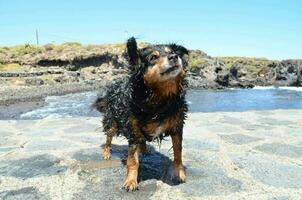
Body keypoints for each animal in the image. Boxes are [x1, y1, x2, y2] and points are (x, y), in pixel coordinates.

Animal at [94, 36, 189, 191]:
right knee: (108, 137)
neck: (159, 99)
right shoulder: (132, 129)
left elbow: (178, 153)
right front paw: (131, 181)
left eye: (173, 52)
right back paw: (107, 152)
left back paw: (144, 149)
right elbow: (132, 160)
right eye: (153, 57)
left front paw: (179, 173)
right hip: (113, 122)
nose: (175, 57)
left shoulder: (177, 126)